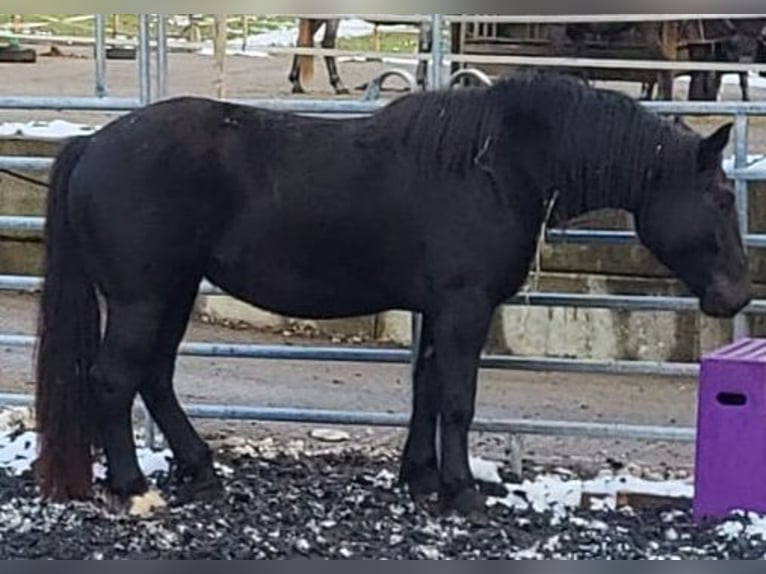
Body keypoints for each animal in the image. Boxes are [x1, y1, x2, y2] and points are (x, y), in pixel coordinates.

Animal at [34, 71, 752, 516]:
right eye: (720, 198)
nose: (738, 296)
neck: (498, 167)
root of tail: (92, 143)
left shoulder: (440, 310)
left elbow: (426, 389)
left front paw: (422, 477)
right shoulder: (465, 306)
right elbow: (457, 400)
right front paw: (463, 492)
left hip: (173, 293)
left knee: (155, 378)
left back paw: (198, 468)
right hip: (142, 299)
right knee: (115, 381)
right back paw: (133, 488)